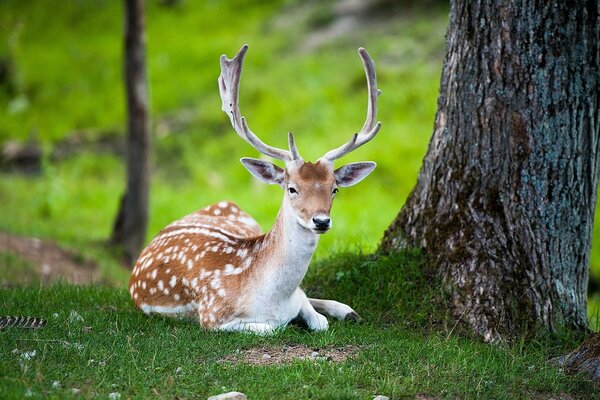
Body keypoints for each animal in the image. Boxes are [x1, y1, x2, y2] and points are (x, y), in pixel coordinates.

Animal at [127, 44, 380, 334]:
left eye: (334, 189)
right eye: (292, 189)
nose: (321, 221)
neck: (273, 299)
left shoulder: (297, 299)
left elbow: (318, 319)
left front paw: (334, 312)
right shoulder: (212, 315)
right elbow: (273, 327)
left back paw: (347, 310)